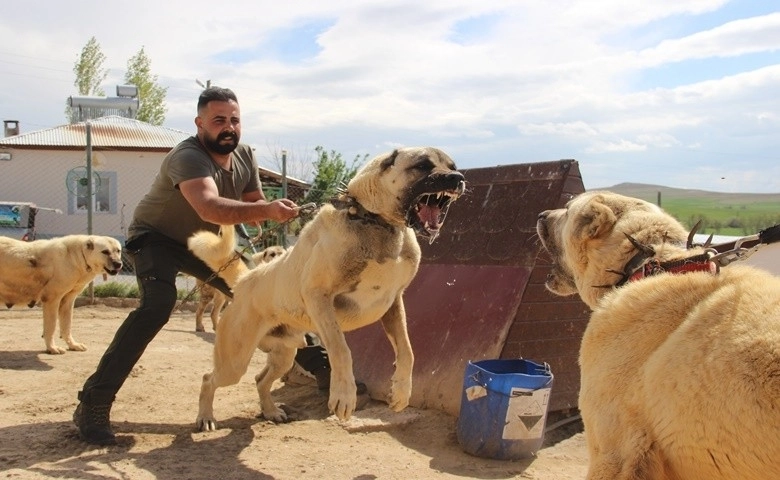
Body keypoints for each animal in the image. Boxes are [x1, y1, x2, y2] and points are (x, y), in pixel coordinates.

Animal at [190, 146, 466, 432]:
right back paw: (206, 417)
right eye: (422, 165)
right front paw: (344, 395)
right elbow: (341, 350)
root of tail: (246, 279)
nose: (458, 179)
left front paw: (401, 392)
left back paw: (271, 411)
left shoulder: (394, 303)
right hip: (235, 361)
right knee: (208, 378)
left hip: (284, 355)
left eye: (453, 166)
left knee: (260, 379)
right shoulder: (318, 296)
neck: (375, 221)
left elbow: (407, 351)